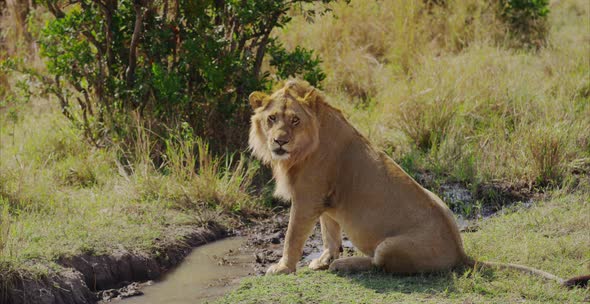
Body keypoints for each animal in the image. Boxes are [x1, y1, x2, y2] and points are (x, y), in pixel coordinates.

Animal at [249, 79, 590, 288]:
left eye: (294, 120)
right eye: (272, 119)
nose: (279, 141)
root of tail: (459, 250)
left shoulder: (308, 196)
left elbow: (293, 236)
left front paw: (282, 267)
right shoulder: (325, 200)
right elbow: (330, 233)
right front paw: (322, 260)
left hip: (389, 246)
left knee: (378, 264)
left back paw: (346, 265)